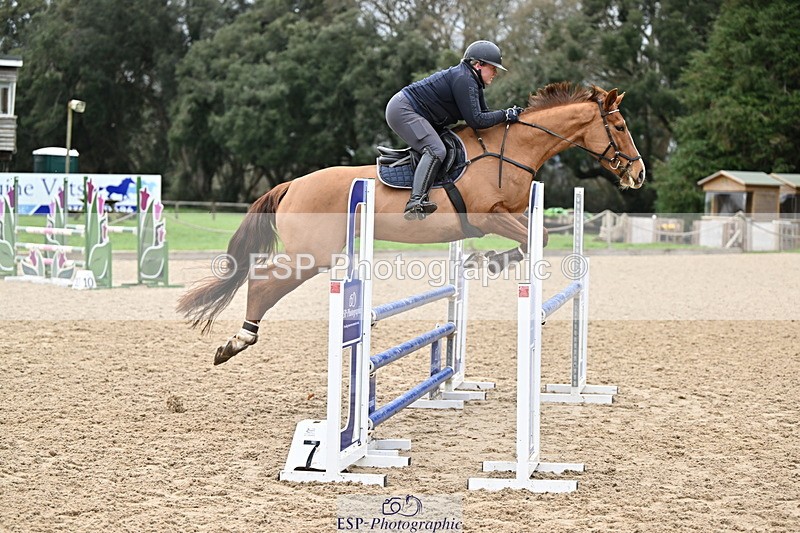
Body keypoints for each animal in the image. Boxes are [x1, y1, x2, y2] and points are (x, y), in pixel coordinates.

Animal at [177, 83, 646, 365]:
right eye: (620, 125)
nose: (638, 175)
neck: (510, 150)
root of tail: (292, 184)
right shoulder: (486, 216)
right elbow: (538, 238)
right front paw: (493, 263)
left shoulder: (509, 215)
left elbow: (538, 236)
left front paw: (487, 263)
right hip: (313, 255)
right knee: (261, 281)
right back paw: (238, 341)